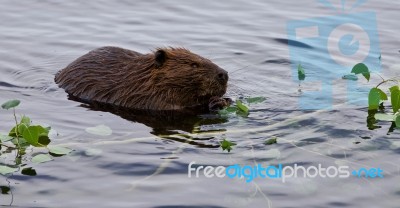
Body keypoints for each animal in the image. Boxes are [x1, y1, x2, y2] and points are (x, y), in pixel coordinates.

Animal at [54, 46, 230, 111]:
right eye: (193, 64)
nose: (224, 74)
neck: (141, 80)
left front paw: (226, 100)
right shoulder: (149, 99)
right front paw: (216, 102)